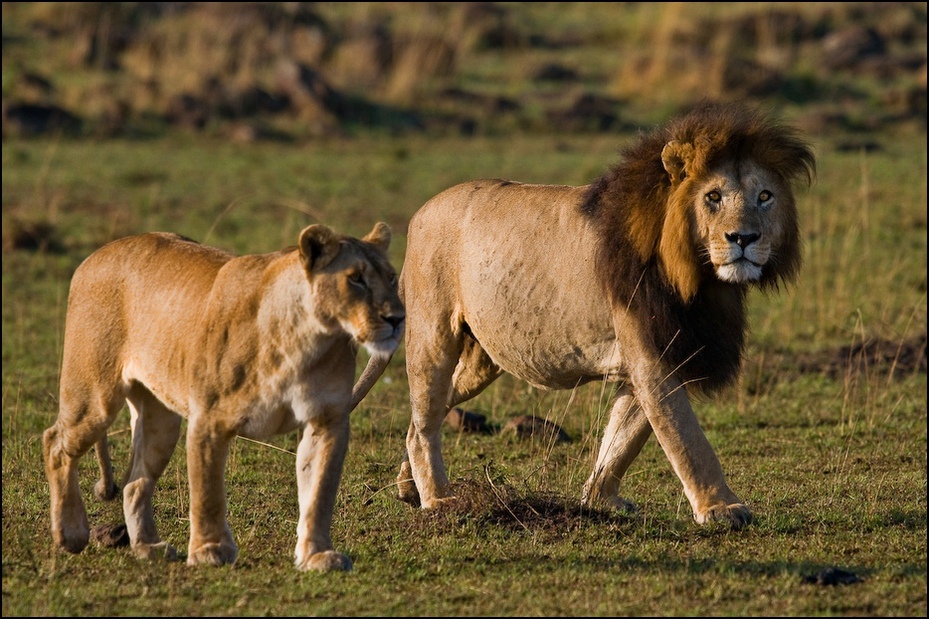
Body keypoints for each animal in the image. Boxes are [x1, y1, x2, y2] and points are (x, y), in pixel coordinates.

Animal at [43, 222, 404, 572]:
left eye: (391, 277)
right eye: (355, 278)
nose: (397, 318)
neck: (305, 340)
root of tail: (97, 254)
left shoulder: (327, 421)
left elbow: (319, 492)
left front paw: (317, 555)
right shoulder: (209, 418)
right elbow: (208, 493)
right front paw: (210, 551)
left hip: (160, 421)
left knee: (135, 482)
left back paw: (147, 547)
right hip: (95, 396)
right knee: (55, 442)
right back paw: (71, 533)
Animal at [356, 103, 812, 528]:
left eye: (765, 196)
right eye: (713, 197)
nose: (743, 238)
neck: (701, 278)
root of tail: (419, 214)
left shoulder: (658, 356)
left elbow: (623, 439)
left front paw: (600, 500)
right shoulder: (652, 353)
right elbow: (686, 439)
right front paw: (722, 508)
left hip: (482, 359)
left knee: (425, 415)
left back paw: (408, 485)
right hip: (434, 335)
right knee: (426, 417)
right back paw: (437, 498)